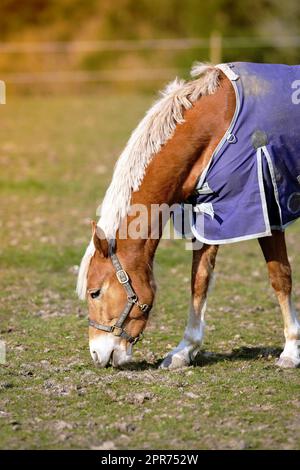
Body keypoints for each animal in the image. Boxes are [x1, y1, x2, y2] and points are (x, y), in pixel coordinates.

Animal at [77, 62, 300, 370]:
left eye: (95, 292)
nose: (97, 354)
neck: (217, 126)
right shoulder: (211, 214)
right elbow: (199, 280)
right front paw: (184, 350)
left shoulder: (265, 210)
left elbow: (280, 276)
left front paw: (291, 350)